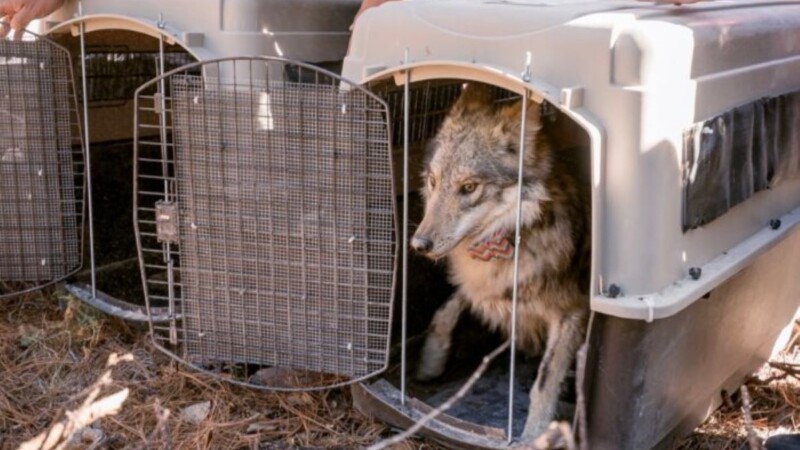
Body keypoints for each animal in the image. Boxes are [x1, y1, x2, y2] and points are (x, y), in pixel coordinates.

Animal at [410, 83, 590, 441]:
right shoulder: (485, 286)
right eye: (433, 181)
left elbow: (544, 383)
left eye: (469, 187)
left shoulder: (571, 313)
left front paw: (533, 436)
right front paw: (429, 363)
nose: (418, 245)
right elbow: (444, 312)